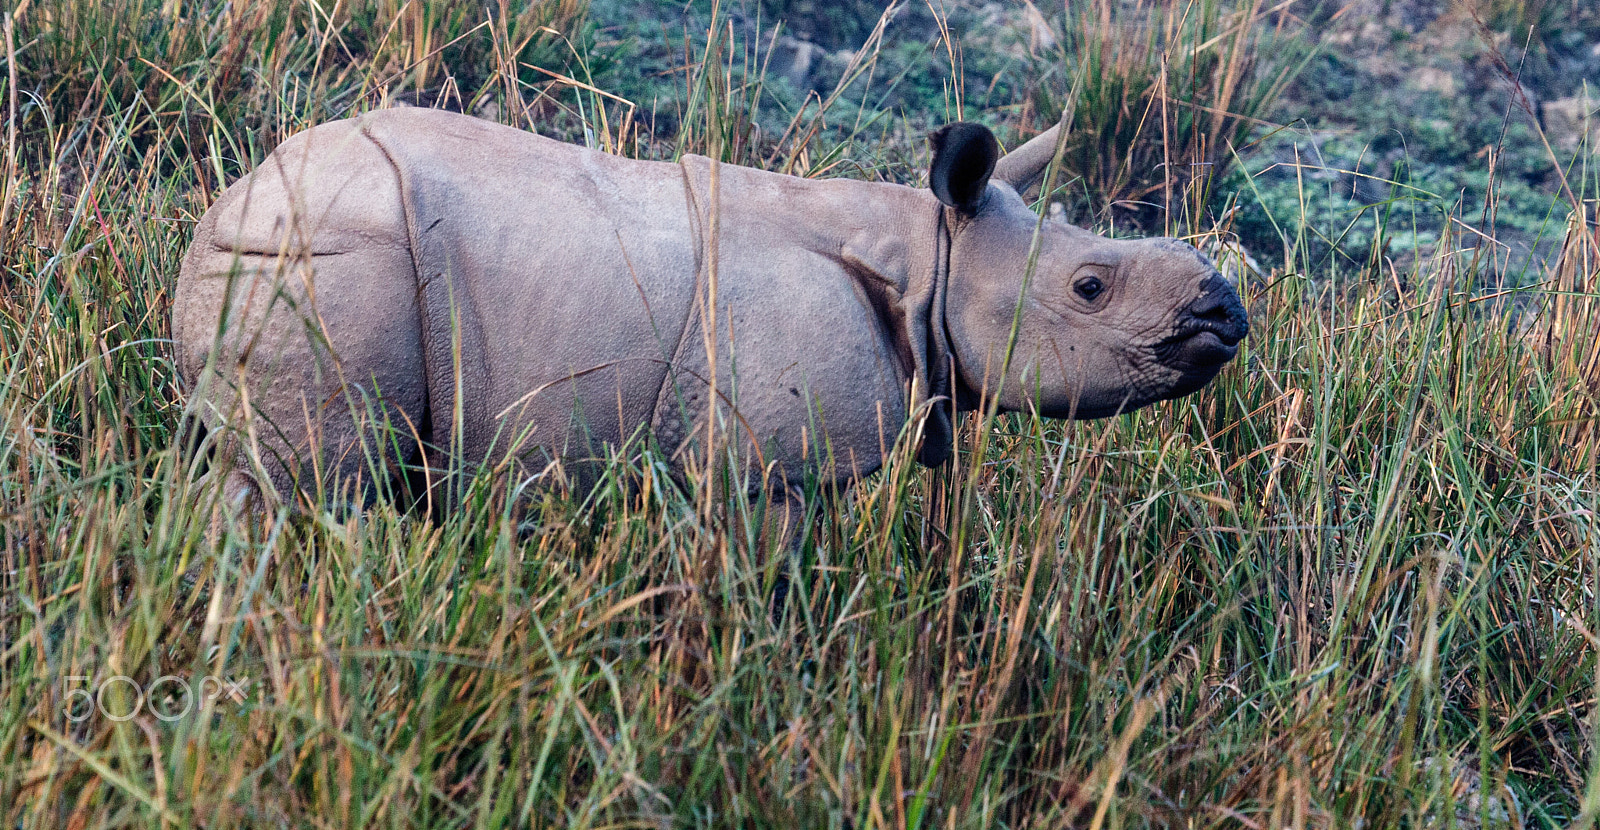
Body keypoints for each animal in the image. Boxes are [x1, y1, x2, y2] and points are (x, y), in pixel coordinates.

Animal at [173, 108, 1247, 522]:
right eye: (1090, 286)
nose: (1227, 309)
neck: (929, 256)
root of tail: (233, 204)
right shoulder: (766, 468)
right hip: (336, 262)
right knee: (315, 484)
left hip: (291, 257)